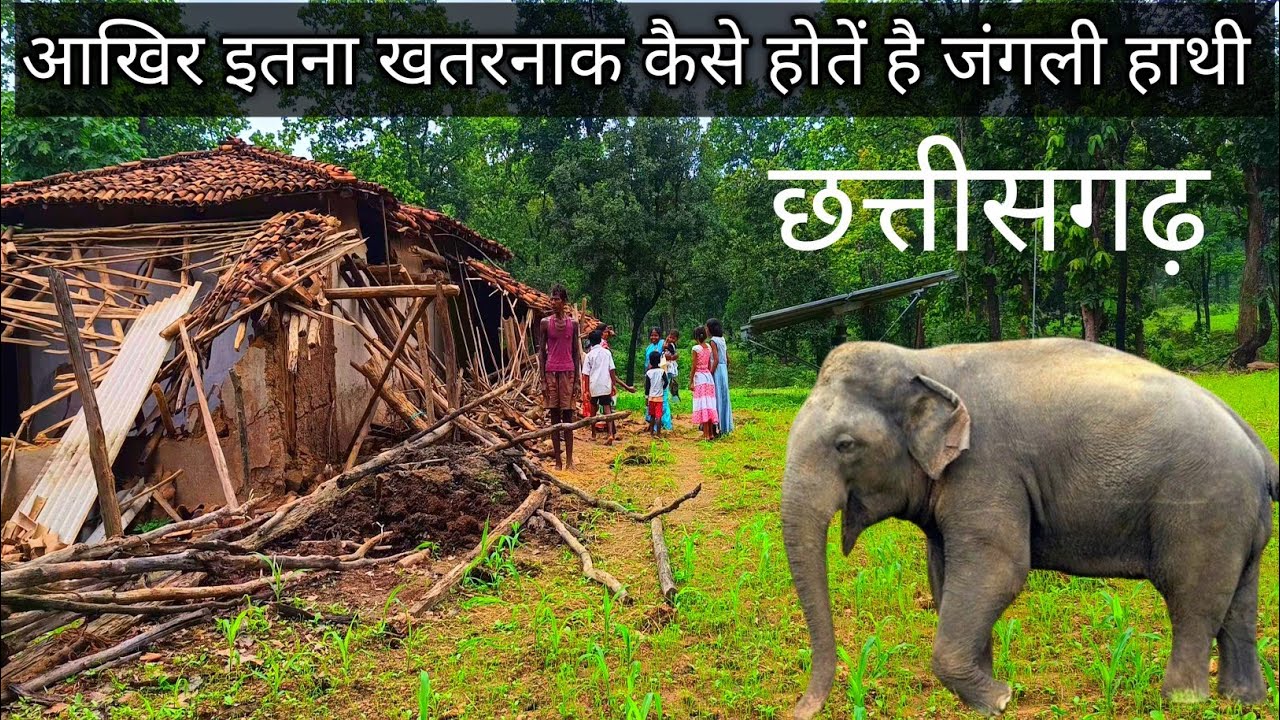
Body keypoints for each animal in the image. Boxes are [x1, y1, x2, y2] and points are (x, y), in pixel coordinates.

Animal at [781, 338, 1279, 718]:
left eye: (845, 445)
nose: (799, 711)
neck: (925, 362)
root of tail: (1257, 447)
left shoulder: (986, 468)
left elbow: (1000, 571)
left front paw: (1000, 700)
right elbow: (945, 576)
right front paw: (988, 694)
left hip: (1204, 509)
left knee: (1192, 600)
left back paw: (1181, 702)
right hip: (1240, 520)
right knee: (1237, 603)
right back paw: (1244, 701)